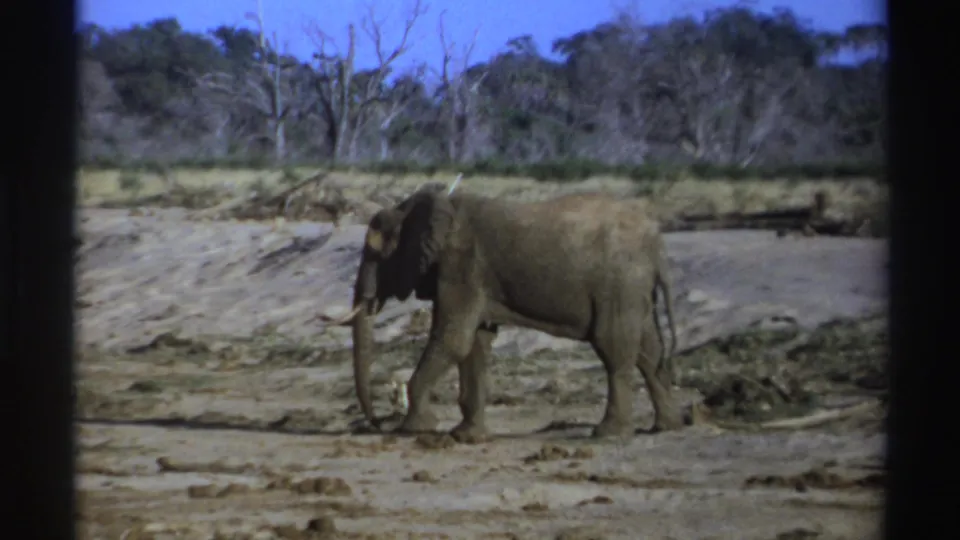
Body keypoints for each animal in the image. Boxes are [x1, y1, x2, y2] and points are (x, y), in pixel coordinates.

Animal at [325, 188, 682, 441]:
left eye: (377, 254)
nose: (375, 424)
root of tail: (658, 246)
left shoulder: (462, 265)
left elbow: (454, 339)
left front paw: (416, 429)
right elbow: (475, 343)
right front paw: (467, 436)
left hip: (619, 283)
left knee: (614, 350)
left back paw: (608, 435)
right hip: (632, 288)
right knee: (648, 350)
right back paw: (665, 426)